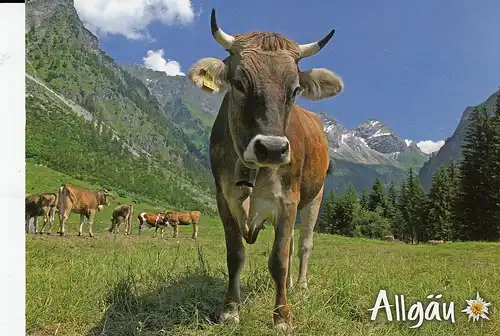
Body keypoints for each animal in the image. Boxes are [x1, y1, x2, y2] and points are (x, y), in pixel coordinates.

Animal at [186, 9, 342, 330]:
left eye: (295, 90)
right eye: (238, 83)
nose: (272, 148)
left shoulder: (288, 200)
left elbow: (279, 259)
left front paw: (282, 316)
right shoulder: (224, 199)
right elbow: (236, 255)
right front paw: (230, 310)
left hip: (315, 196)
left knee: (303, 244)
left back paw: (301, 286)